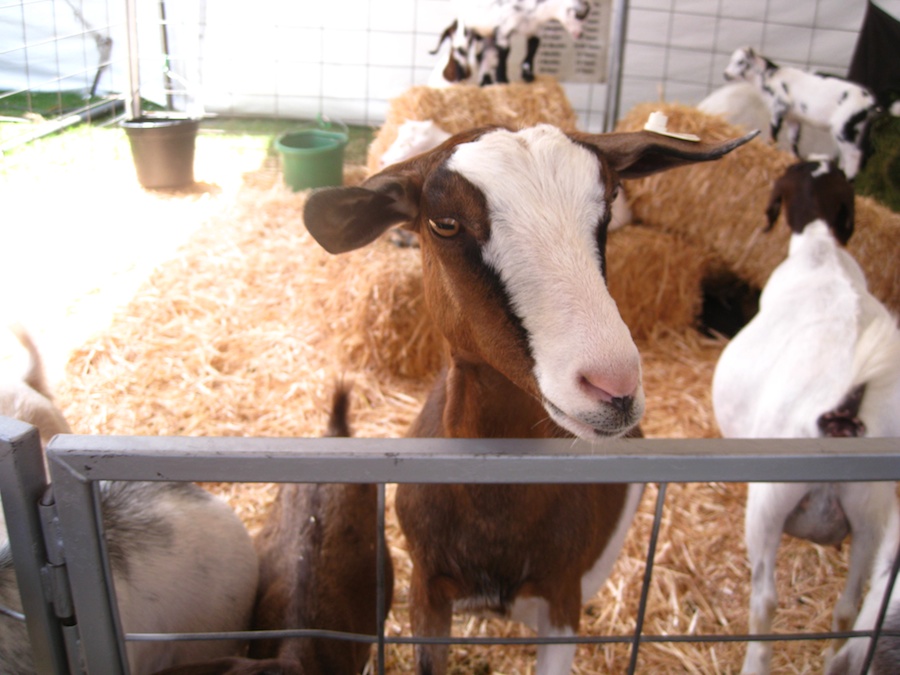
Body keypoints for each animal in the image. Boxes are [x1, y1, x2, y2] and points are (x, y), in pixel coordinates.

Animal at [712, 160, 900, 675]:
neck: (820, 250)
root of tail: (842, 411)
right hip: (872, 516)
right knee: (847, 607)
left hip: (770, 503)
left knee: (765, 600)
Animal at [724, 47, 880, 180]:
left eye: (741, 62)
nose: (726, 74)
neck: (769, 77)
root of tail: (871, 103)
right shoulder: (793, 118)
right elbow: (794, 139)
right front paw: (793, 159)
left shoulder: (779, 107)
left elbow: (773, 134)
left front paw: (770, 150)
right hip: (856, 130)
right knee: (848, 155)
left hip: (843, 127)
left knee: (854, 155)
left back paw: (849, 179)